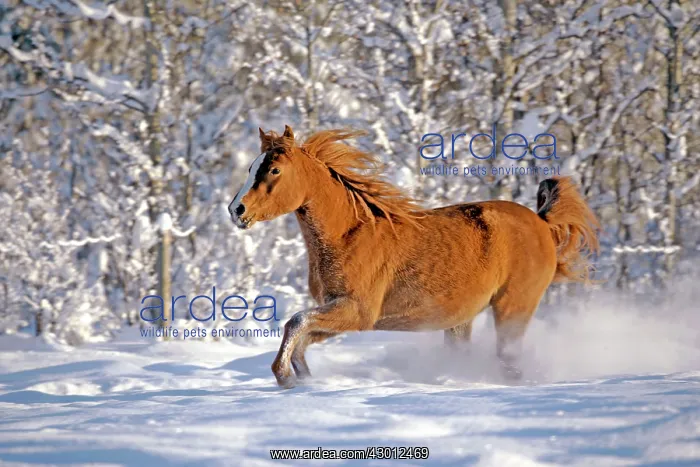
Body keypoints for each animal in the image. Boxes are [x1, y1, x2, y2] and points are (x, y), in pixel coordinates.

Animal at [228, 125, 600, 388]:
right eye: (250, 168)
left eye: (274, 170)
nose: (236, 210)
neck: (349, 234)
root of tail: (542, 224)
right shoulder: (343, 312)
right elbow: (302, 335)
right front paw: (303, 378)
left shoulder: (357, 312)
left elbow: (296, 322)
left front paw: (283, 376)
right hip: (460, 319)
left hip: (513, 308)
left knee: (509, 360)